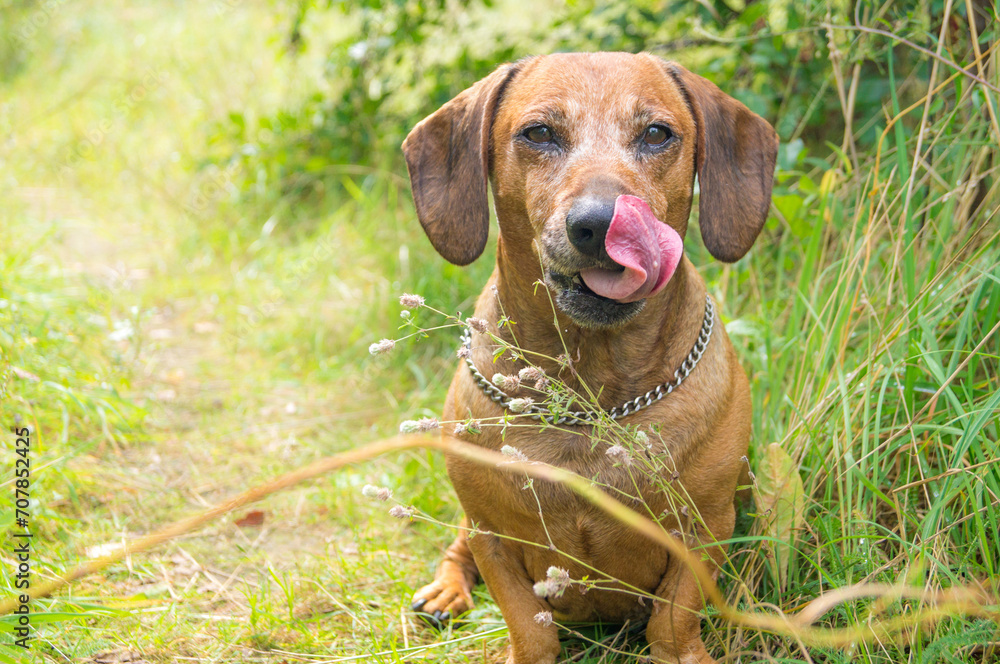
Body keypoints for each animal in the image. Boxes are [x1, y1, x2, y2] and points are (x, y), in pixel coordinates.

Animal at [401, 52, 777, 664]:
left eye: (656, 133)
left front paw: (682, 652)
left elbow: (672, 622)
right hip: (469, 523)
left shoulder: (705, 527)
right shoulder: (492, 536)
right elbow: (529, 627)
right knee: (457, 549)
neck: (591, 389)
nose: (600, 224)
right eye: (538, 133)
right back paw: (445, 591)